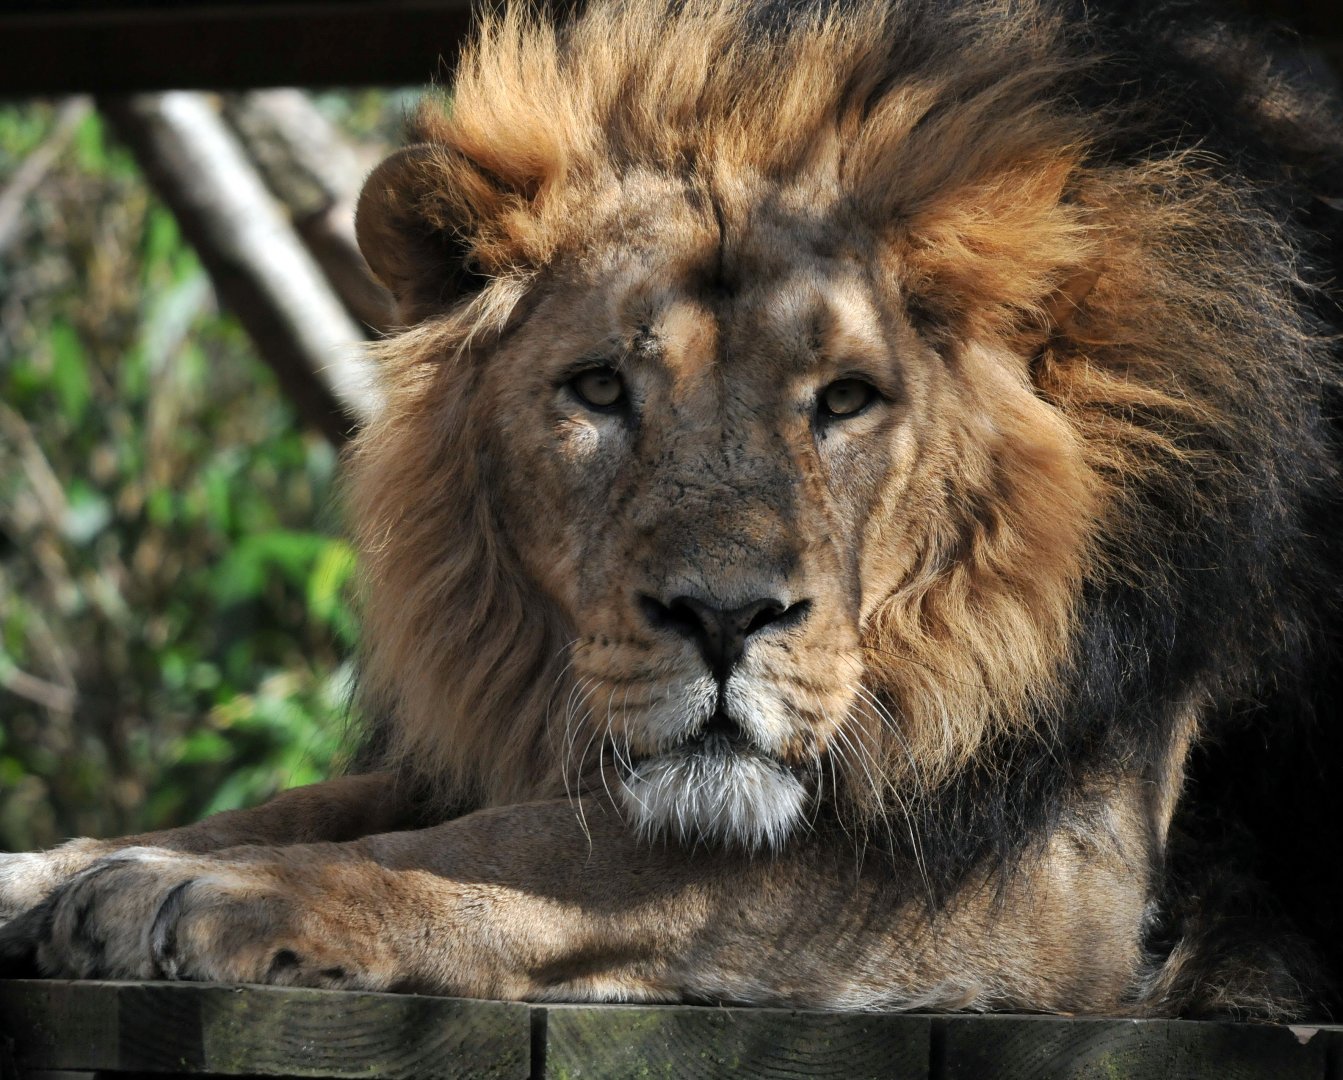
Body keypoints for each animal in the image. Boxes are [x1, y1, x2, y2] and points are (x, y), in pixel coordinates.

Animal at [2, 0, 1342, 1019]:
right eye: (600, 389)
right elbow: (319, 804)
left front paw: (217, 894)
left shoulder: (1057, 879)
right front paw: (55, 872)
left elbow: (556, 852)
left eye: (844, 399)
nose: (722, 619)